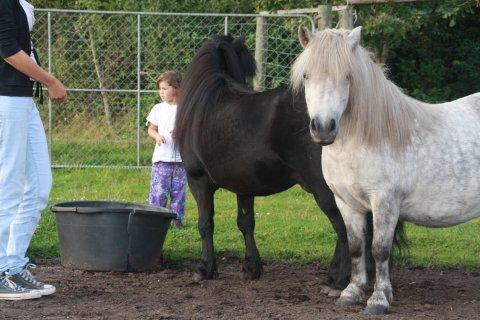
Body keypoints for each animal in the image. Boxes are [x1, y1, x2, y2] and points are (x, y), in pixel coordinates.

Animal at [176, 34, 404, 290]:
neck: (206, 103)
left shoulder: (198, 181)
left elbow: (205, 224)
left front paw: (205, 268)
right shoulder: (244, 186)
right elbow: (245, 222)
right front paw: (251, 267)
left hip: (327, 191)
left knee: (346, 230)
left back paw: (338, 279)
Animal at [290, 26, 480, 316]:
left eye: (347, 76)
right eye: (306, 75)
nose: (323, 127)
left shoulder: (385, 203)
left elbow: (379, 250)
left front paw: (378, 300)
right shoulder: (347, 203)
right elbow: (357, 247)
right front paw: (352, 293)